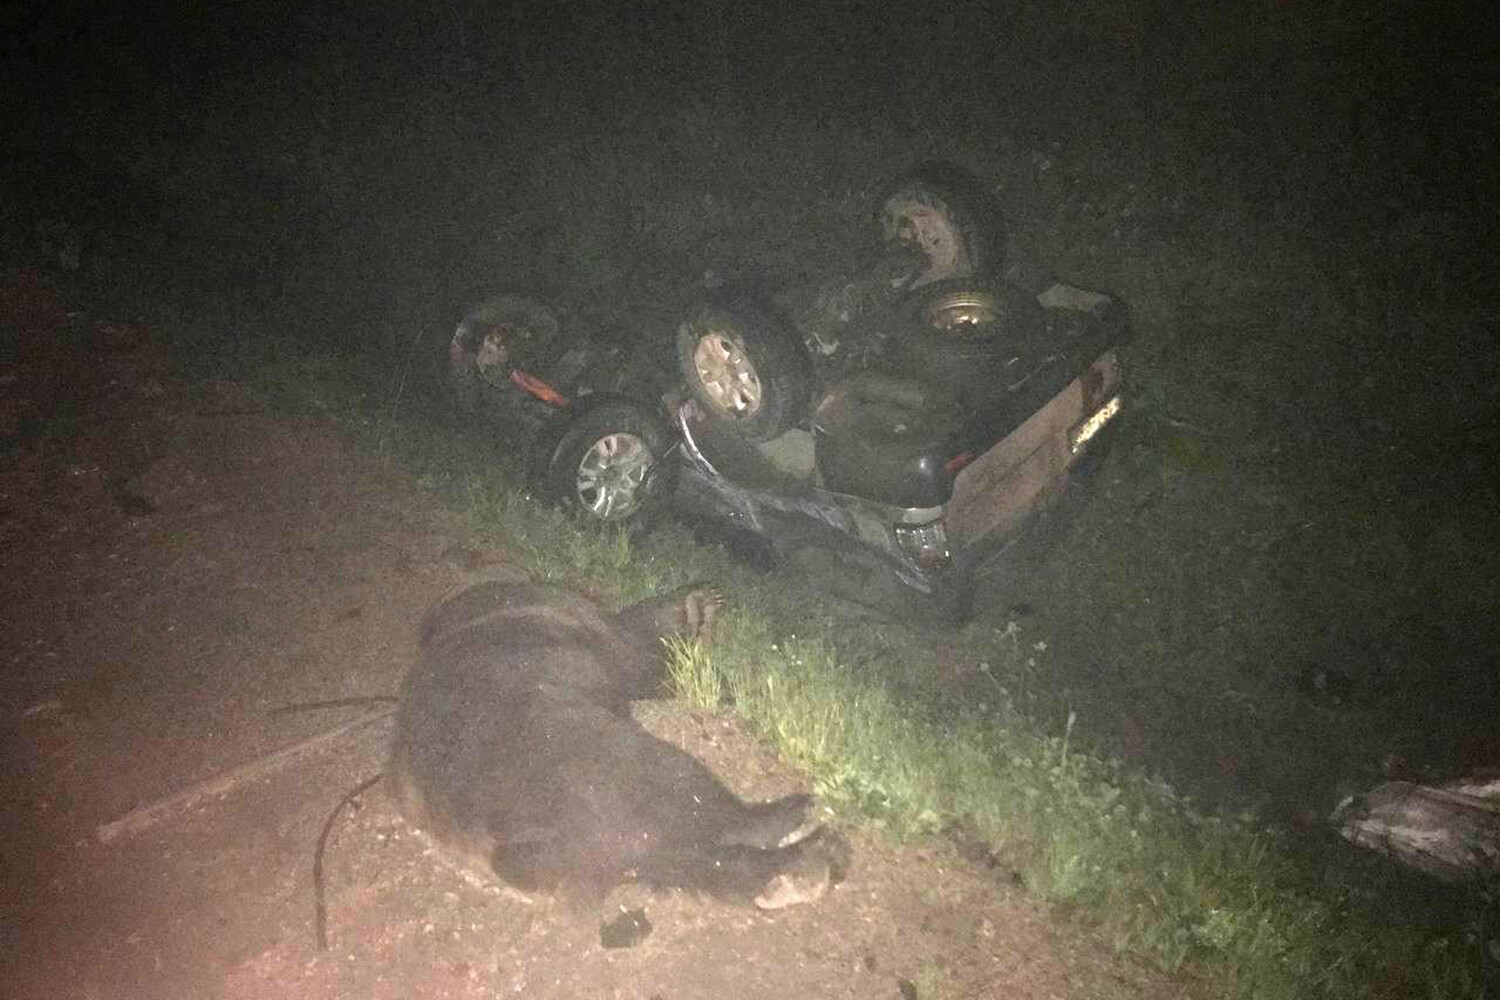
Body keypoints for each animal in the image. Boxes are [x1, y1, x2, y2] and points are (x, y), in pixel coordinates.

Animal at [387, 581, 834, 911]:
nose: (708, 597)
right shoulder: (612, 642)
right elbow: (653, 663)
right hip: (626, 768)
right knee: (711, 814)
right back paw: (795, 833)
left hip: (603, 839)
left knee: (701, 857)